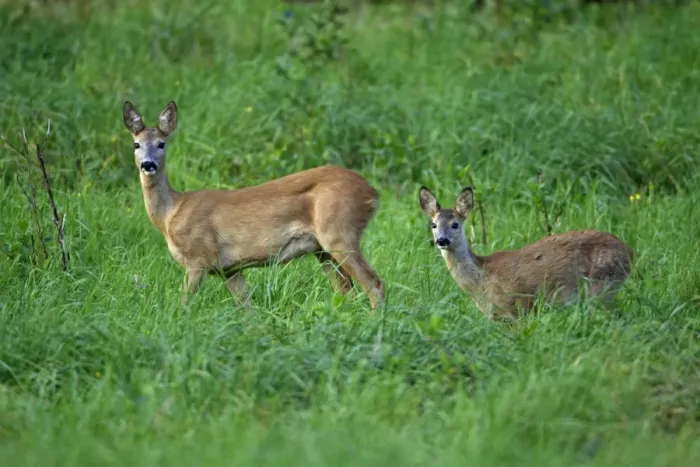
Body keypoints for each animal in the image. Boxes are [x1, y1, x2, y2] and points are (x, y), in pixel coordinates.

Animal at [122, 100, 384, 310]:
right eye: (136, 144)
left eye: (161, 143)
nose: (148, 165)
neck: (170, 215)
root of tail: (371, 192)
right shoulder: (230, 268)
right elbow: (248, 308)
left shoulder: (198, 258)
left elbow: (183, 303)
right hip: (322, 250)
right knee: (346, 290)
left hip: (339, 232)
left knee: (374, 284)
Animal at [418, 186, 634, 320]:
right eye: (433, 225)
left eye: (455, 224)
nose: (441, 240)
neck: (481, 282)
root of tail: (630, 251)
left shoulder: (518, 305)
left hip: (602, 284)